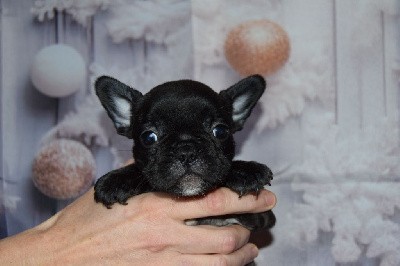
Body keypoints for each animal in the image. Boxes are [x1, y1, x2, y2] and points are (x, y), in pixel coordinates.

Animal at [94, 75, 276, 231]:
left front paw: (246, 171)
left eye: (220, 131)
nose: (186, 151)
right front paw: (116, 180)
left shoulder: (262, 216)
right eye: (148, 137)